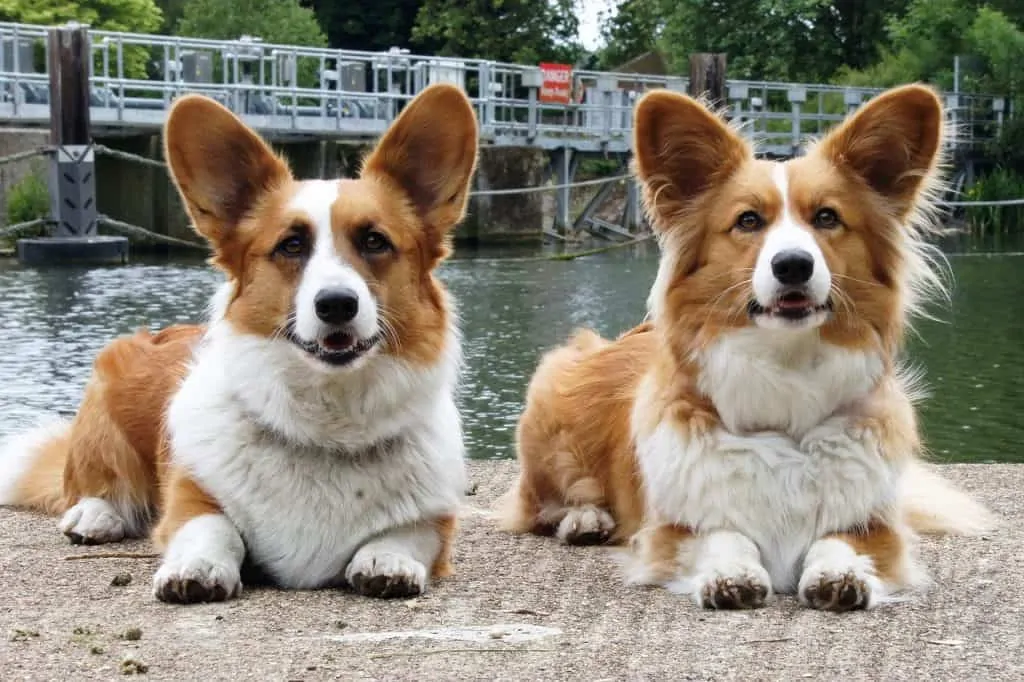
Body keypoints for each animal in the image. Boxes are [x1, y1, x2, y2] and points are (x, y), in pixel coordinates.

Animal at [0, 83, 479, 602]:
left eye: (375, 241)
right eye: (291, 245)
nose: (336, 304)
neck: (327, 427)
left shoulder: (437, 520)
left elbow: (408, 532)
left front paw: (386, 559)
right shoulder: (190, 497)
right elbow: (213, 527)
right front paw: (196, 568)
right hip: (105, 404)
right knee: (92, 485)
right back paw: (95, 514)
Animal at [495, 84, 991, 610]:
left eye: (827, 217)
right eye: (748, 221)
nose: (792, 265)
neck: (785, 376)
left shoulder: (877, 526)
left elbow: (838, 540)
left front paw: (840, 574)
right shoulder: (672, 528)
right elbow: (723, 534)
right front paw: (731, 574)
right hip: (549, 416)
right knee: (545, 503)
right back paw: (585, 518)